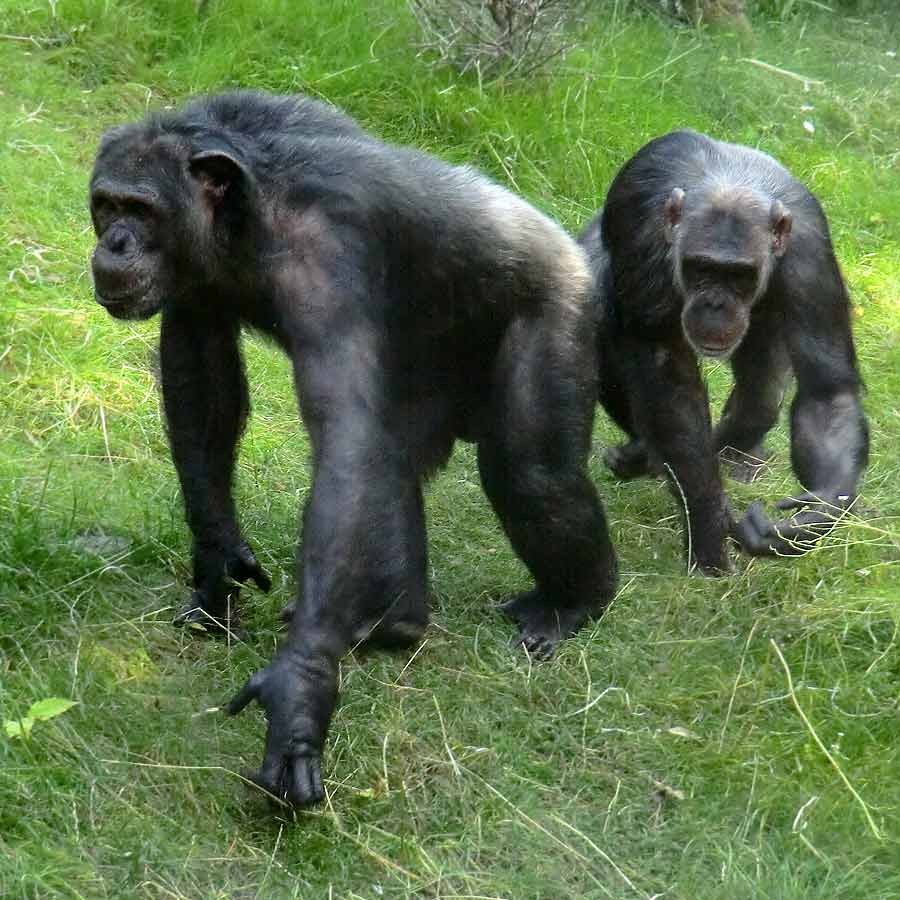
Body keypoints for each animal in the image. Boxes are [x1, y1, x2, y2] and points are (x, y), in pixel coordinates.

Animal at [88, 89, 616, 808]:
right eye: (106, 204)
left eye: (140, 210)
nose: (114, 243)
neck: (245, 221)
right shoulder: (193, 284)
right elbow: (201, 377)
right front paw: (218, 557)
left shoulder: (327, 267)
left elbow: (345, 435)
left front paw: (299, 689)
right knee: (392, 463)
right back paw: (392, 624)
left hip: (560, 310)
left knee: (531, 473)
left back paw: (576, 602)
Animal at [580, 130, 868, 572]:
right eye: (701, 269)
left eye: (739, 275)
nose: (716, 303)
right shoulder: (645, 243)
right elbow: (668, 379)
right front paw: (708, 532)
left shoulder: (809, 257)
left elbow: (826, 387)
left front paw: (816, 512)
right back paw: (647, 455)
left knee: (760, 396)